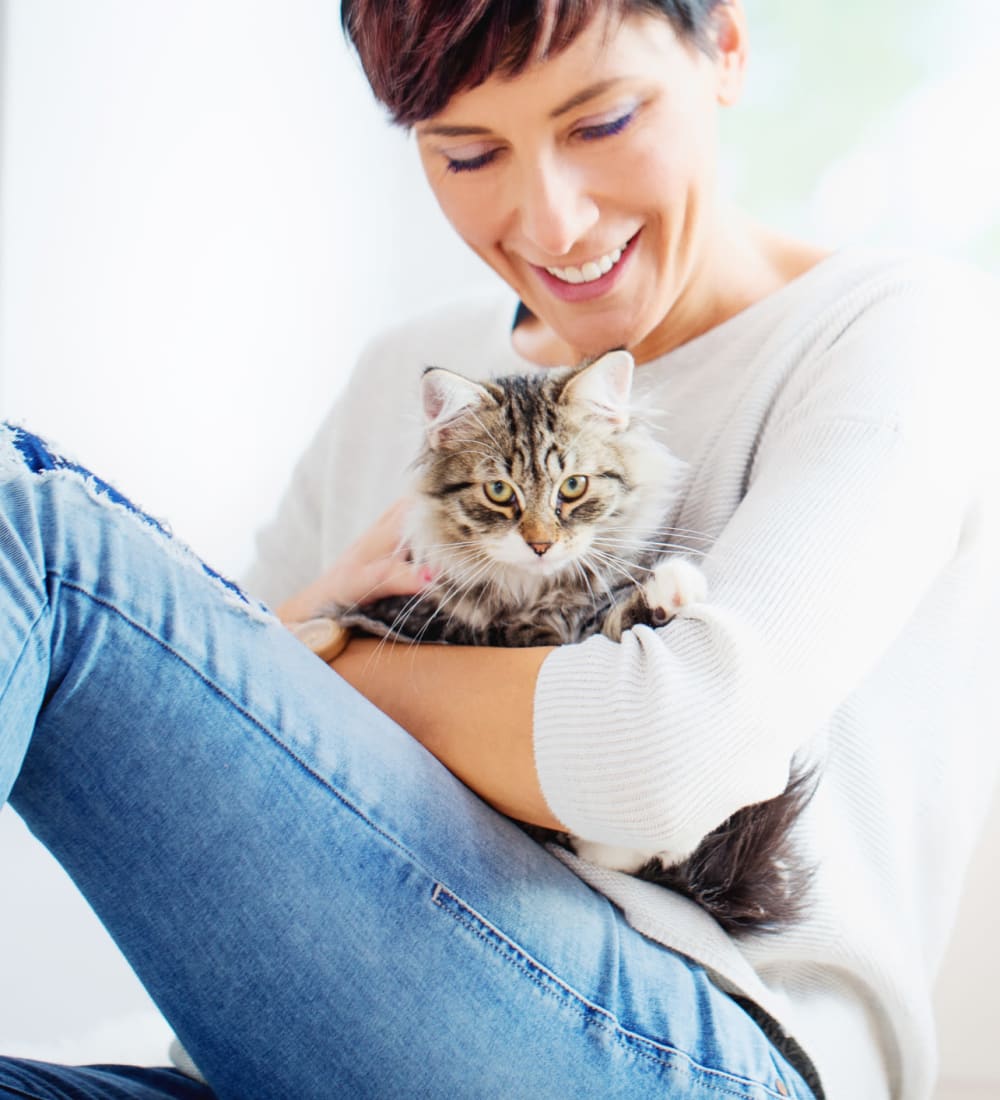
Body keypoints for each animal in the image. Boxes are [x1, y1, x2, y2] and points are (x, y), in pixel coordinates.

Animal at [332, 347, 814, 932]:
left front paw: (668, 589)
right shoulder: (427, 619)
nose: (540, 545)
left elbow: (616, 613)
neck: (542, 597)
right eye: (499, 492)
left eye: (573, 487)